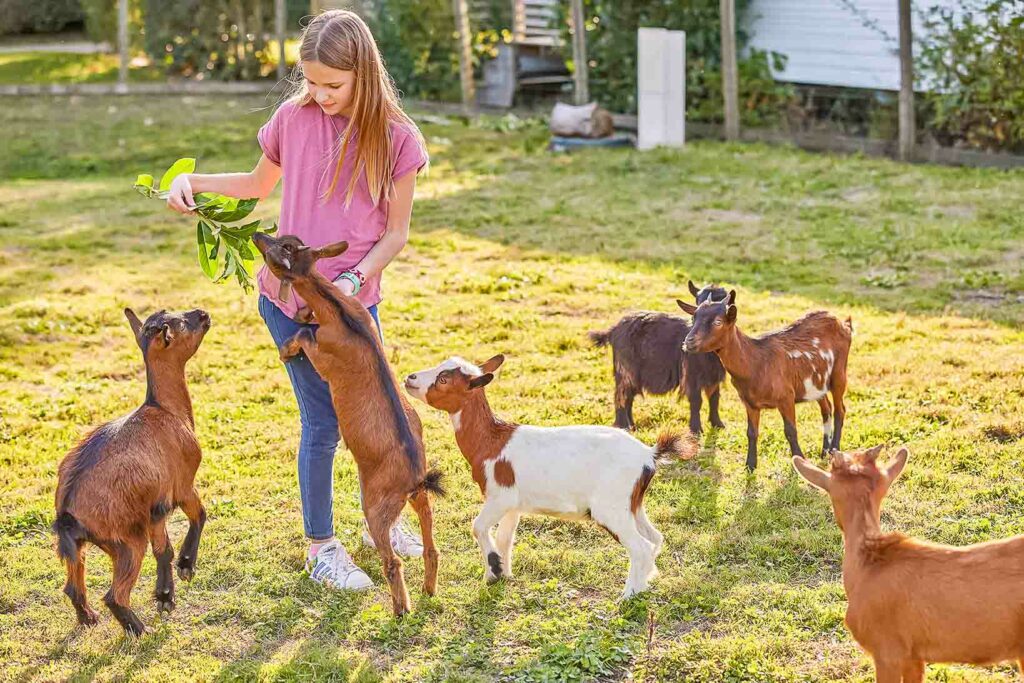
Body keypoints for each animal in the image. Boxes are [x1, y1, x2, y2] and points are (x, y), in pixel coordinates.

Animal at [54, 307, 211, 638]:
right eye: (181, 323)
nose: (203, 314)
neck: (166, 410)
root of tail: (68, 511)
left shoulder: (155, 509)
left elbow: (163, 550)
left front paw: (165, 596)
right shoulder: (182, 484)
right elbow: (199, 515)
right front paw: (186, 566)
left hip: (83, 546)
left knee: (73, 587)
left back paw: (89, 618)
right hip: (127, 541)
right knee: (115, 595)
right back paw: (140, 631)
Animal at [251, 232, 444, 618]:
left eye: (276, 253)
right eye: (285, 240)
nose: (257, 235)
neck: (338, 312)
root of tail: (415, 478)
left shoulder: (323, 354)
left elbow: (304, 336)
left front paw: (286, 348)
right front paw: (302, 312)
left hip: (377, 505)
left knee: (392, 561)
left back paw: (401, 610)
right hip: (420, 500)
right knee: (432, 548)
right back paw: (428, 591)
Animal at [403, 356, 692, 602]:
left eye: (443, 379)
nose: (410, 378)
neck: (491, 442)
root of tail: (649, 455)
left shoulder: (499, 496)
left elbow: (477, 526)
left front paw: (493, 569)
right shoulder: (513, 504)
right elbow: (505, 537)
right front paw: (501, 574)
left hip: (610, 507)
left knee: (641, 546)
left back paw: (629, 595)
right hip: (632, 504)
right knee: (655, 538)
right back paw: (644, 583)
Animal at [679, 290, 856, 473]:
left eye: (718, 322)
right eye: (693, 318)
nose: (688, 342)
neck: (755, 362)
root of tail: (844, 324)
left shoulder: (786, 397)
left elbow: (790, 430)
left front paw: (799, 460)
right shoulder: (749, 402)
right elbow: (751, 432)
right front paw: (750, 465)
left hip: (839, 373)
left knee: (840, 410)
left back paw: (834, 449)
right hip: (818, 382)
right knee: (826, 408)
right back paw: (825, 451)